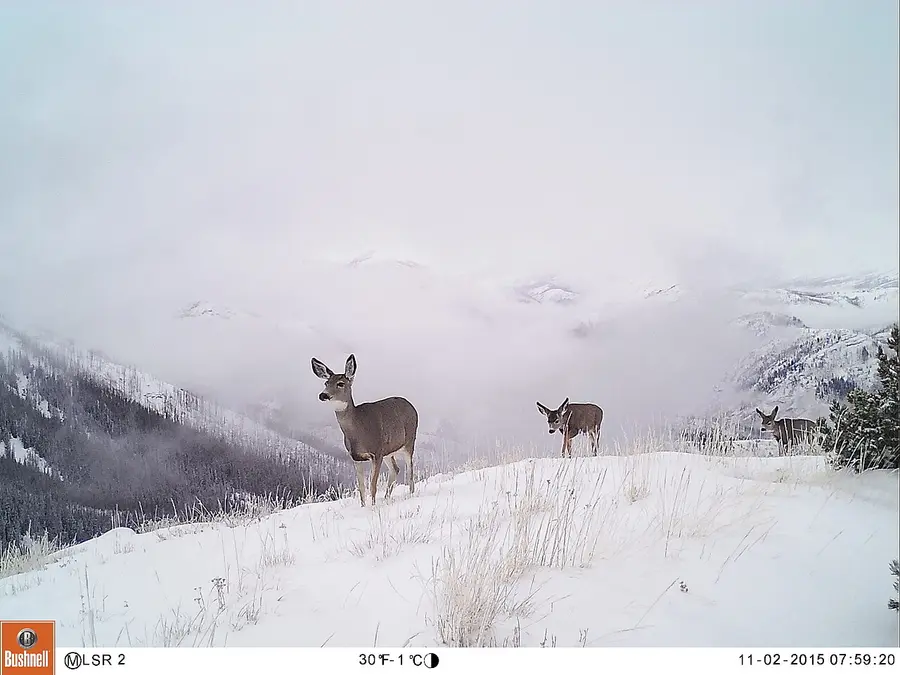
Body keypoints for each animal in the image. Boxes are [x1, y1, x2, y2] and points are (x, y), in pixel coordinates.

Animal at [311, 354, 418, 506]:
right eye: (326, 383)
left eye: (340, 383)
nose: (323, 395)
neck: (358, 431)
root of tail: (411, 406)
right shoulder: (356, 456)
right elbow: (361, 487)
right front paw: (363, 506)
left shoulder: (376, 452)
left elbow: (372, 485)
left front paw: (372, 507)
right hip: (388, 451)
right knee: (395, 469)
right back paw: (386, 498)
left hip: (409, 441)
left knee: (410, 470)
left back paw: (410, 495)